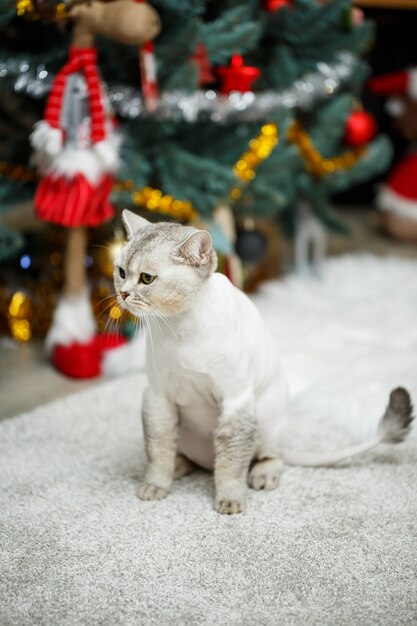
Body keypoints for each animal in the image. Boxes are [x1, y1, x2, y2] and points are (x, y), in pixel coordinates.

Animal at [114, 210, 412, 512]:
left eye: (147, 278)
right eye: (121, 272)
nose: (123, 294)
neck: (178, 327)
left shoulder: (235, 399)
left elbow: (231, 465)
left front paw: (230, 501)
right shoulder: (158, 397)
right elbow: (158, 452)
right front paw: (155, 486)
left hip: (265, 417)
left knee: (264, 456)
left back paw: (262, 475)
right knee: (188, 455)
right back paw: (179, 466)